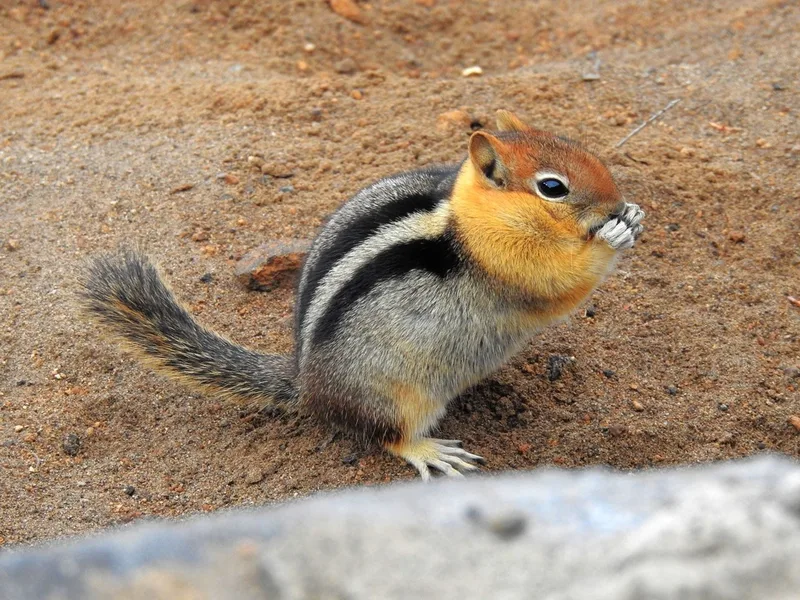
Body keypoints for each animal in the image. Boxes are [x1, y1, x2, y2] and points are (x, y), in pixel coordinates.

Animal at [82, 110, 644, 480]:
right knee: (385, 436)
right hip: (396, 396)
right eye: (552, 187)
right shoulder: (515, 263)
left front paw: (633, 214)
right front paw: (613, 236)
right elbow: (563, 282)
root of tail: (306, 384)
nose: (616, 203)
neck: (470, 217)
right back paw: (429, 451)